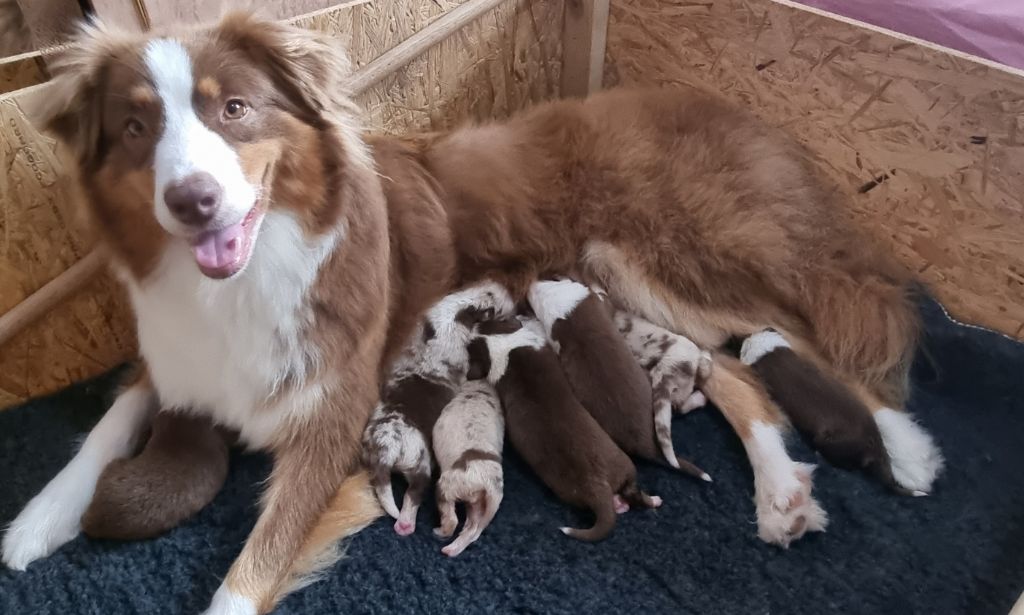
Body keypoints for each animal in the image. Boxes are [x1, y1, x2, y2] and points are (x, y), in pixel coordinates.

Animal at [364, 280, 516, 536]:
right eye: (492, 306)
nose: (507, 290)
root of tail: (387, 448)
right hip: (420, 466)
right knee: (412, 496)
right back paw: (406, 524)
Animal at [432, 378, 503, 556]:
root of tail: (490, 485)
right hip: (479, 505)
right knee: (473, 530)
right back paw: (451, 550)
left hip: (446, 488)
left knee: (451, 520)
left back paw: (440, 533)